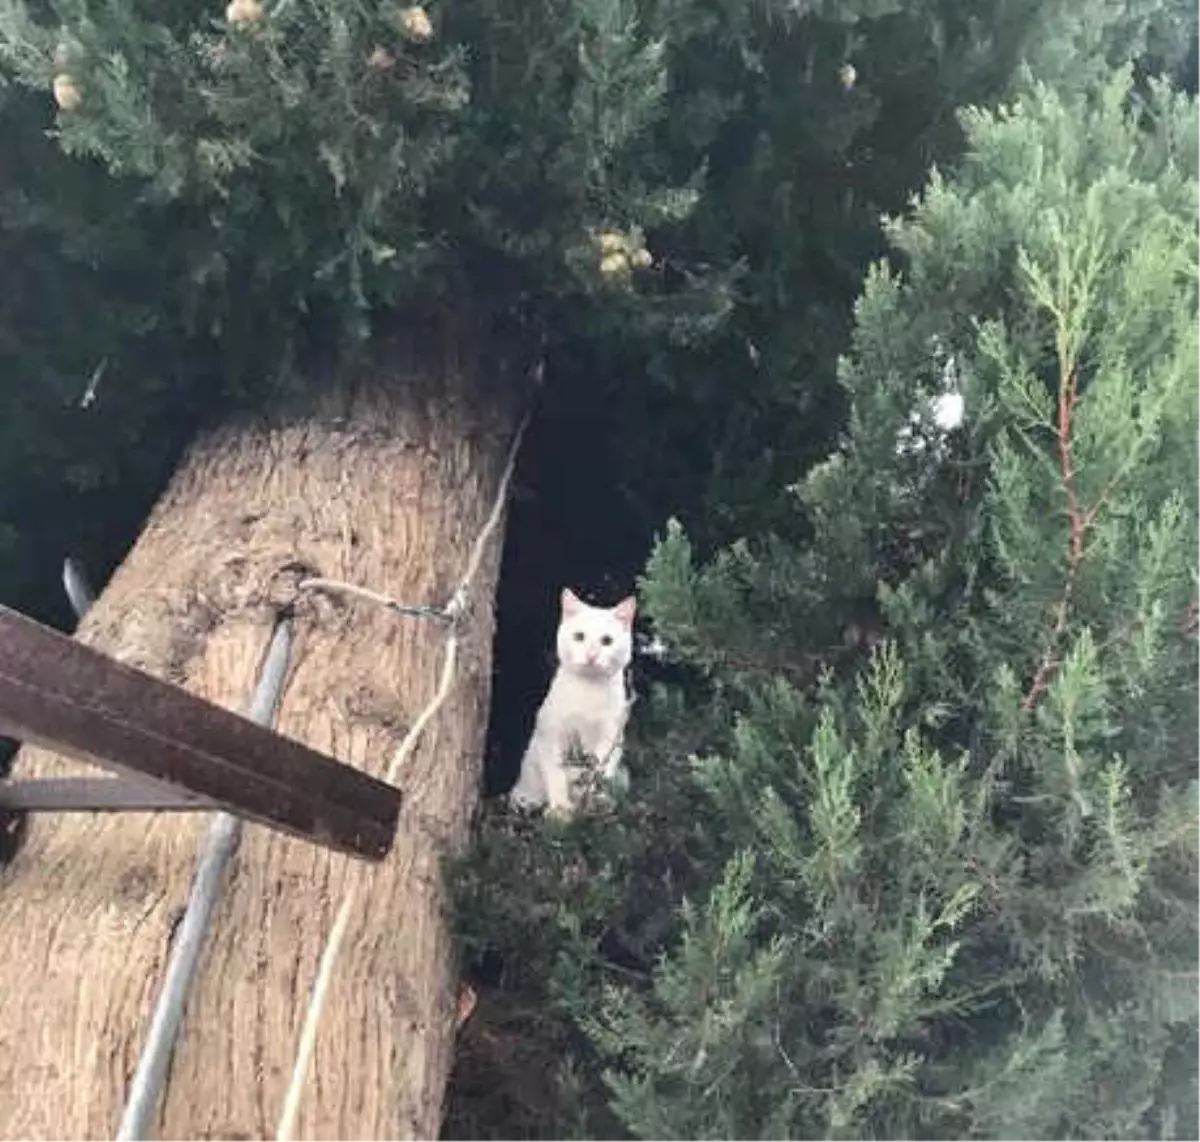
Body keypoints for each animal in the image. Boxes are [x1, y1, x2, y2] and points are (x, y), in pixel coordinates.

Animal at [508, 585, 638, 815]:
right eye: (579, 636)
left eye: (607, 641)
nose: (592, 655)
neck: (589, 691)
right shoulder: (552, 734)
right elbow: (557, 775)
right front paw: (560, 809)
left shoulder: (610, 738)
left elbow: (598, 773)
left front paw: (592, 801)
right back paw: (527, 801)